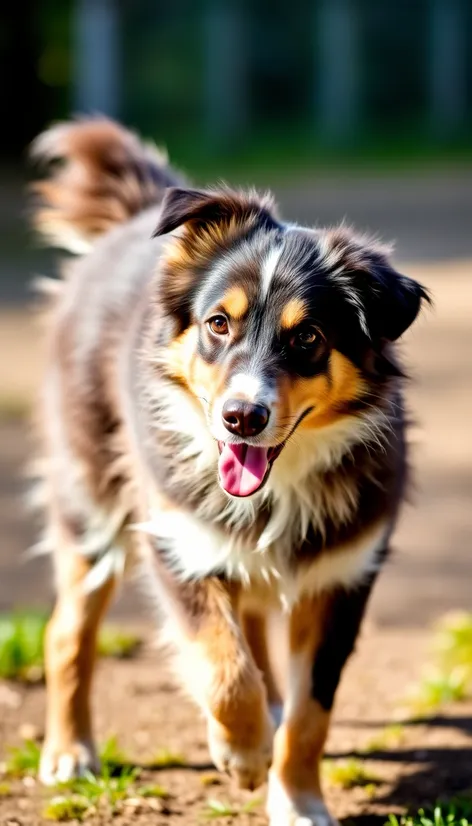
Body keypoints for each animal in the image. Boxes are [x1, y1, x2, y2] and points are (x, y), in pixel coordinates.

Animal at [28, 117, 428, 824]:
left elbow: (310, 712)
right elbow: (223, 669)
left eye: (308, 338)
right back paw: (70, 753)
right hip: (91, 502)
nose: (242, 417)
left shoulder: (343, 574)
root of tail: (133, 218)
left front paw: (297, 801)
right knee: (67, 631)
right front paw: (241, 753)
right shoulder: (178, 542)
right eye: (218, 322)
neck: (280, 483)